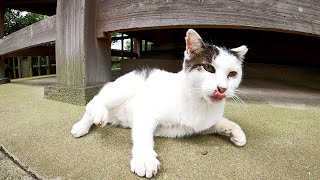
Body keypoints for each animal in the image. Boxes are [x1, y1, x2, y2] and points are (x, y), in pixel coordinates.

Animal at [71, 28, 249, 178]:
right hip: (123, 89)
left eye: (232, 74)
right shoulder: (145, 112)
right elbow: (143, 135)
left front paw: (235, 132)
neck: (200, 103)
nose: (222, 88)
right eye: (208, 68)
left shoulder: (201, 126)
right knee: (94, 103)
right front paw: (144, 159)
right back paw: (85, 123)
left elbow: (219, 123)